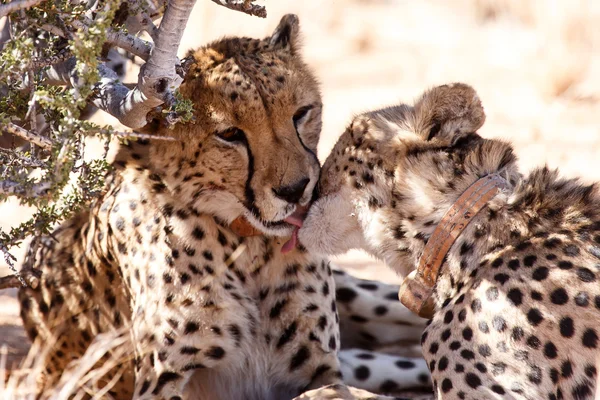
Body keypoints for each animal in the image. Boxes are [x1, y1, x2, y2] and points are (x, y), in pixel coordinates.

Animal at [18, 14, 428, 400]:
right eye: (230, 135)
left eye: (301, 113)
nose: (296, 190)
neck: (245, 244)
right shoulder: (162, 383)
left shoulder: (319, 367)